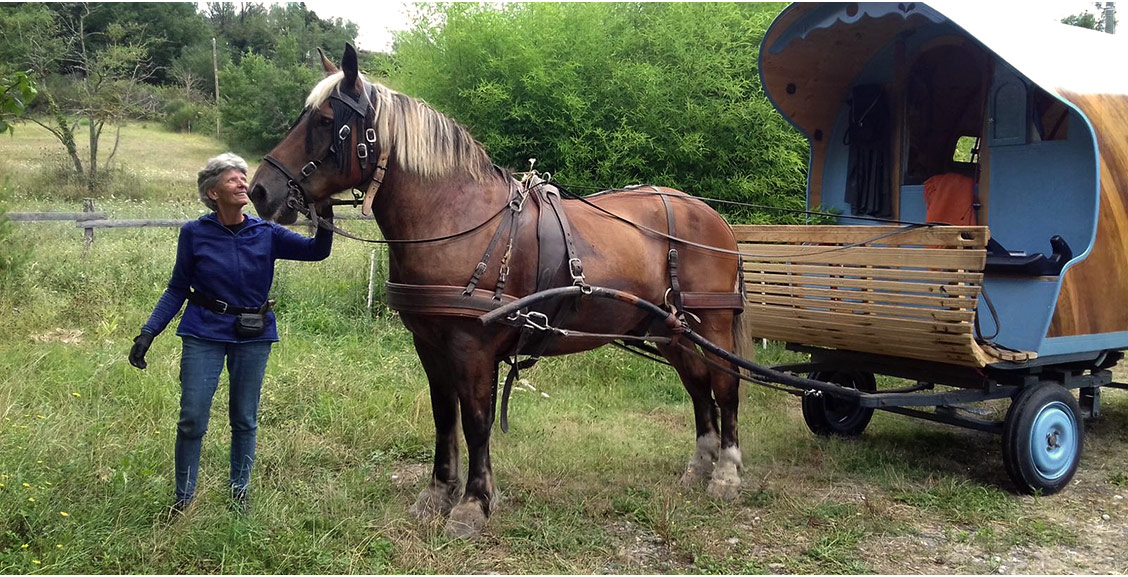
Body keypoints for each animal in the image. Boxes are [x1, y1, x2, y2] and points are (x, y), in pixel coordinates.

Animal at [251, 46, 753, 540]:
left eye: (324, 121)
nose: (260, 191)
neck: (456, 219)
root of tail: (715, 218)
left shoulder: (473, 347)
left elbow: (476, 420)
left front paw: (473, 504)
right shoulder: (429, 344)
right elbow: (444, 417)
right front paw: (437, 494)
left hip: (712, 323)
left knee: (725, 386)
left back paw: (726, 475)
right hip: (669, 329)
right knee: (697, 384)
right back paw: (698, 467)